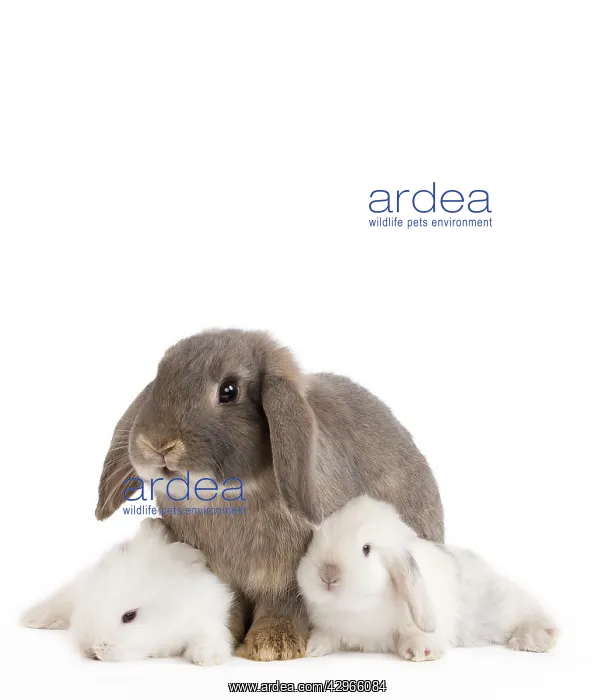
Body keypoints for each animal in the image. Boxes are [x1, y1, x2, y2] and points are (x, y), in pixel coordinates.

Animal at [93, 329, 444, 661]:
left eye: (229, 391)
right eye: (160, 378)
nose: (158, 445)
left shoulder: (289, 577)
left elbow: (284, 604)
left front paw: (272, 647)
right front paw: (229, 635)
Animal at [297, 496, 558, 661]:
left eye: (366, 549)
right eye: (315, 540)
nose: (327, 575)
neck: (357, 611)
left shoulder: (413, 623)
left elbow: (416, 634)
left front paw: (421, 652)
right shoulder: (330, 628)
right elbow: (325, 636)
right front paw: (311, 649)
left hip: (503, 609)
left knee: (529, 612)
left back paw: (536, 640)